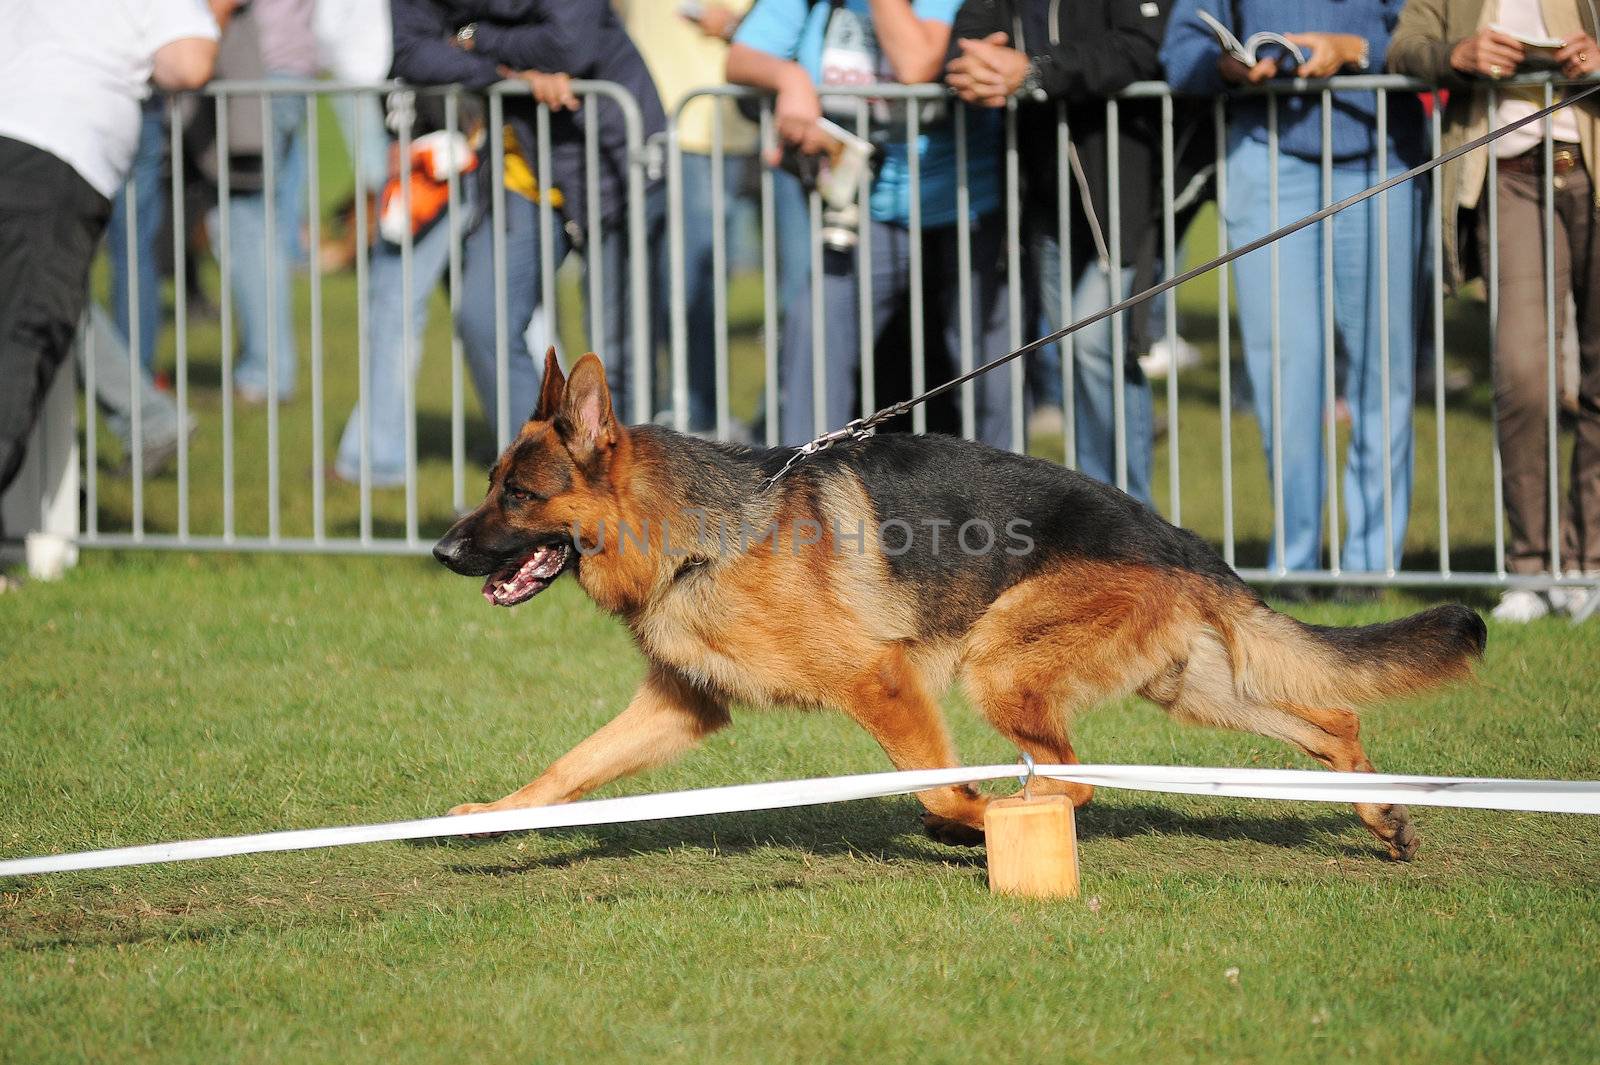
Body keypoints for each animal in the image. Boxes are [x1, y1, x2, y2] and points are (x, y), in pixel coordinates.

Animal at [428, 351, 1484, 857]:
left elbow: (938, 784)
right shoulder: (680, 705)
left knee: (1076, 781)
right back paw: (1381, 813)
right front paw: (492, 815)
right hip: (1190, 688)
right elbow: (570, 765)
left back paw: (1017, 810)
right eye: (489, 484)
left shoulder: (882, 679)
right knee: (1335, 716)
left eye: (517, 495)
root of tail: (1178, 538)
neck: (694, 534)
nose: (440, 550)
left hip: (998, 662)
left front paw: (965, 819)